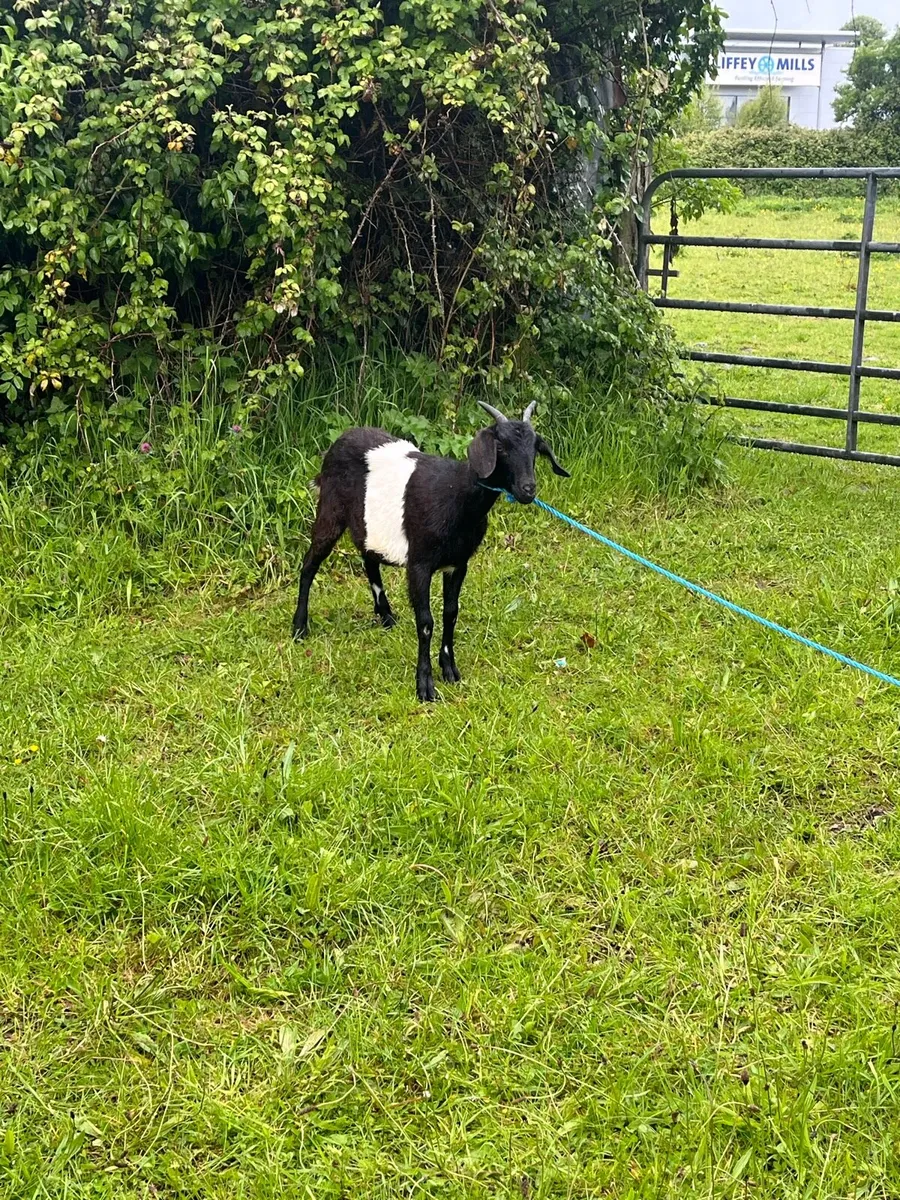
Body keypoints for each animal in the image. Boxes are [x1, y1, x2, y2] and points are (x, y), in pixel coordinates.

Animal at [292, 400, 569, 701]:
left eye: (535, 449)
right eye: (502, 447)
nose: (528, 489)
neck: (456, 495)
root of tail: (339, 441)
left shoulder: (458, 564)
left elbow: (451, 613)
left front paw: (449, 668)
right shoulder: (419, 563)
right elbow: (426, 622)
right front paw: (425, 684)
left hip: (366, 522)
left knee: (369, 557)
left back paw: (386, 615)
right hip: (330, 510)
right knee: (310, 563)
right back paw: (299, 627)